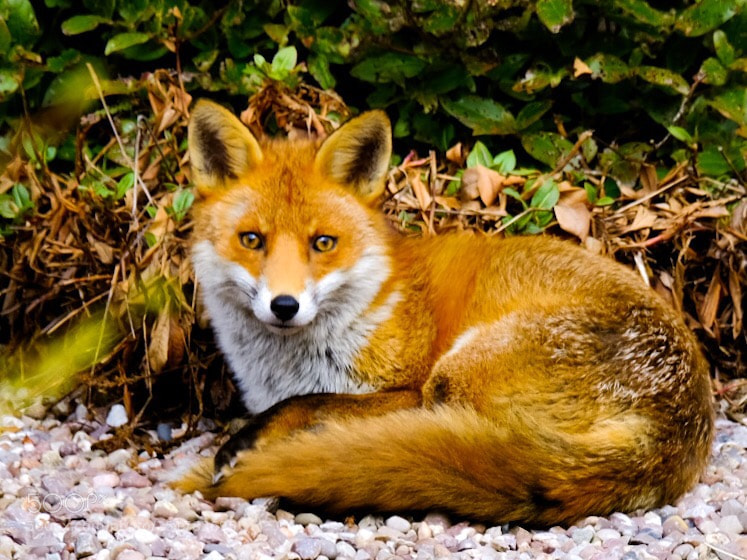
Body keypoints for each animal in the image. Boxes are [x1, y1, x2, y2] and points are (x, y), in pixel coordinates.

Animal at [174, 99, 714, 527]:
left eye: (323, 243)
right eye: (252, 240)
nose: (284, 306)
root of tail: (677, 433)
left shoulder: (403, 389)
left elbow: (311, 402)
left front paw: (251, 441)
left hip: (452, 380)